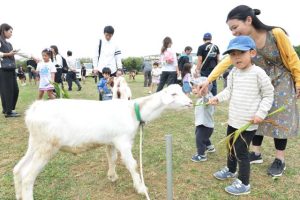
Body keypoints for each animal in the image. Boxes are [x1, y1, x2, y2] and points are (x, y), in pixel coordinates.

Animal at [12, 83, 192, 199]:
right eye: (174, 94)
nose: (190, 103)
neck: (132, 111)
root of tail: (35, 109)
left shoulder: (111, 141)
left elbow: (111, 158)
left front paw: (112, 176)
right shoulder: (123, 141)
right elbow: (132, 164)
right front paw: (141, 188)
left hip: (35, 143)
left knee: (18, 169)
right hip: (47, 146)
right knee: (28, 176)